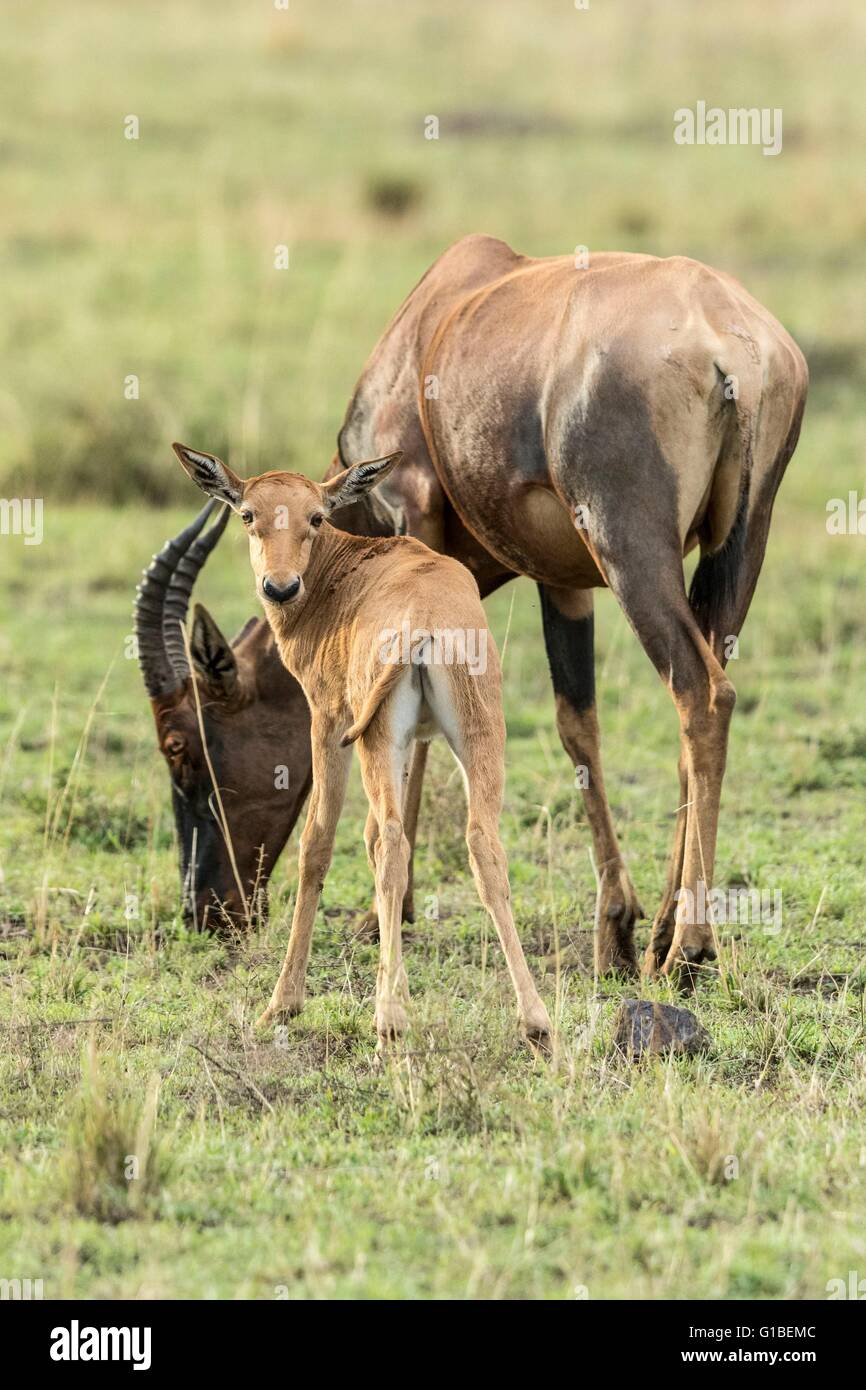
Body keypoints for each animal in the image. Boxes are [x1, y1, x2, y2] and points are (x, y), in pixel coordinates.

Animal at [173, 439, 553, 1045]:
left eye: (315, 516)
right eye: (248, 514)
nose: (280, 587)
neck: (349, 572)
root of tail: (426, 620)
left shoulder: (328, 723)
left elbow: (319, 843)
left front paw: (282, 1005)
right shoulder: (410, 741)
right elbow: (374, 841)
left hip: (375, 738)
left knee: (395, 843)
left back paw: (388, 1022)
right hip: (477, 736)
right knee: (480, 845)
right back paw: (534, 1019)